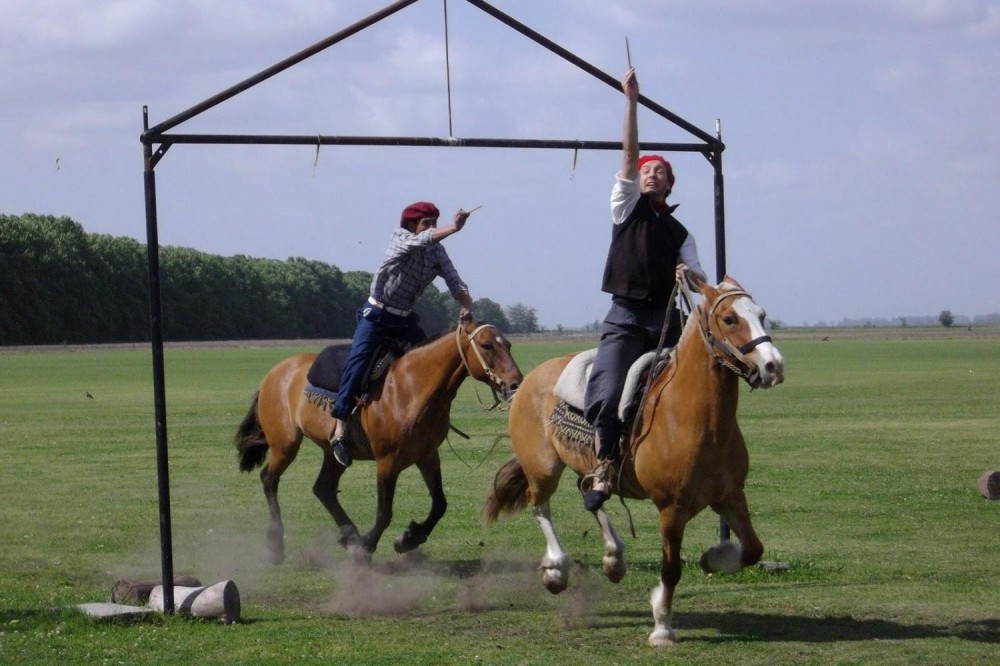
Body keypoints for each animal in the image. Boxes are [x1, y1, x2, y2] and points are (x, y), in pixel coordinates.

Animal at [235, 320, 524, 564]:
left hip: (334, 454)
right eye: (486, 345)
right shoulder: (387, 461)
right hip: (285, 444)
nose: (515, 385)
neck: (411, 389)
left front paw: (408, 538)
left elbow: (440, 504)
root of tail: (275, 372)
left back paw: (349, 535)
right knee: (269, 479)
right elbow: (384, 512)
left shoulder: (427, 455)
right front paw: (368, 546)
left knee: (323, 488)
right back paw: (276, 544)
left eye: (508, 345)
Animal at [482, 272, 780, 644]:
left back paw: (614, 559)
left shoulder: (730, 495)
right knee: (540, 505)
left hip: (588, 468)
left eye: (762, 315)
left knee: (590, 494)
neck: (694, 418)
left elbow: (754, 548)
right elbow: (671, 568)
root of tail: (529, 380)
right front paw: (662, 625)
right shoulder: (671, 509)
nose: (773, 366)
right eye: (729, 319)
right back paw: (556, 571)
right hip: (543, 468)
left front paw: (713, 558)